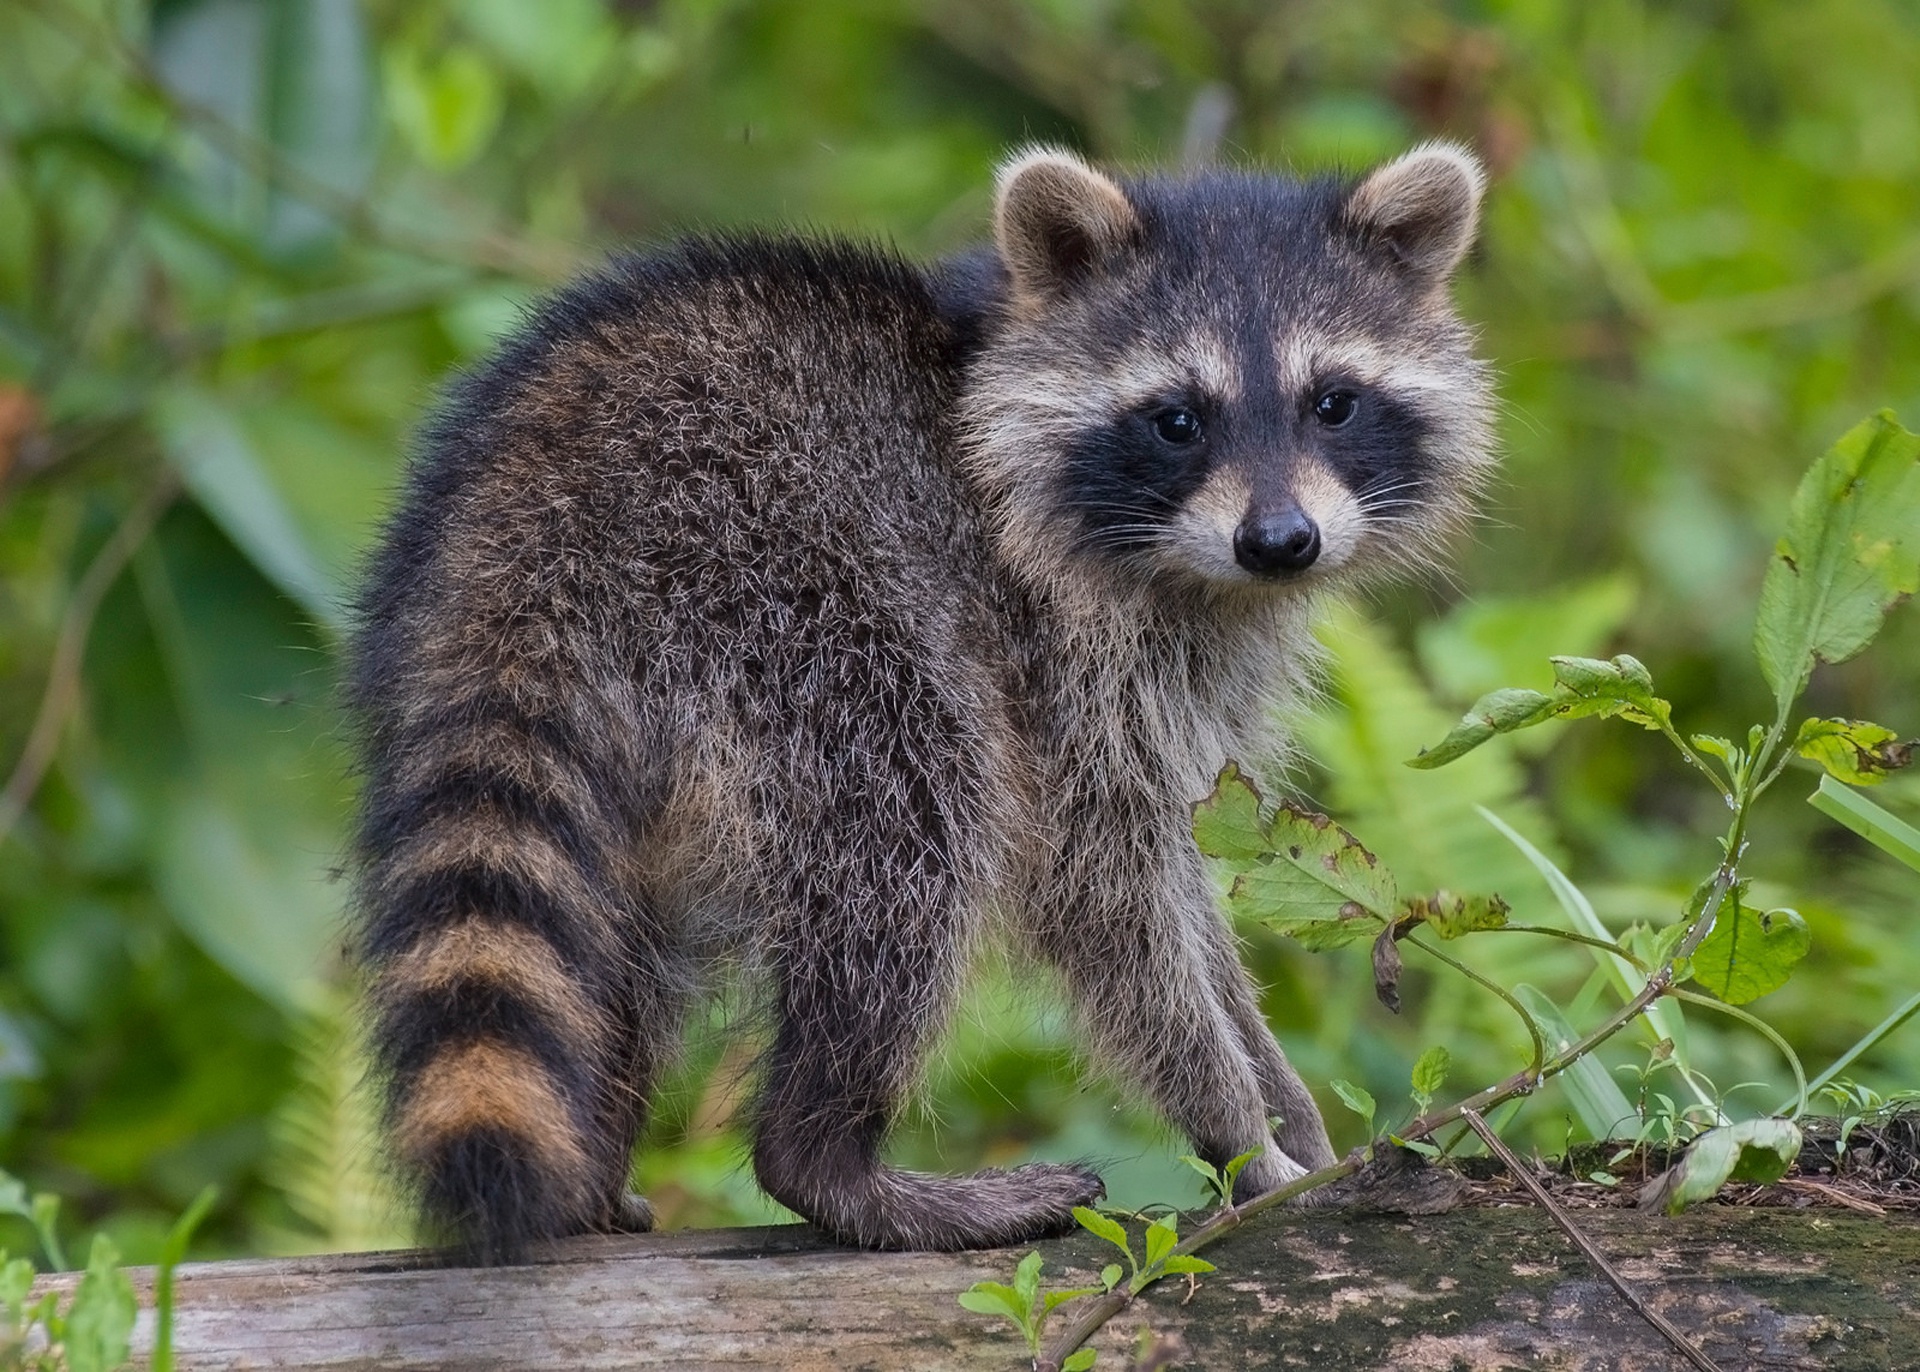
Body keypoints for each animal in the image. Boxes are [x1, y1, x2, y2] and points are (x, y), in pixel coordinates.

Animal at [353, 144, 1489, 1258]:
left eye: (1332, 402)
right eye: (1177, 421)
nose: (1281, 541)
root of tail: (534, 517)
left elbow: (1180, 868)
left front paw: (1283, 1099)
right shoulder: (1055, 648)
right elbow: (1104, 888)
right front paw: (1238, 1127)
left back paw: (595, 1169)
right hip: (794, 605)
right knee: (911, 829)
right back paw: (829, 1158)